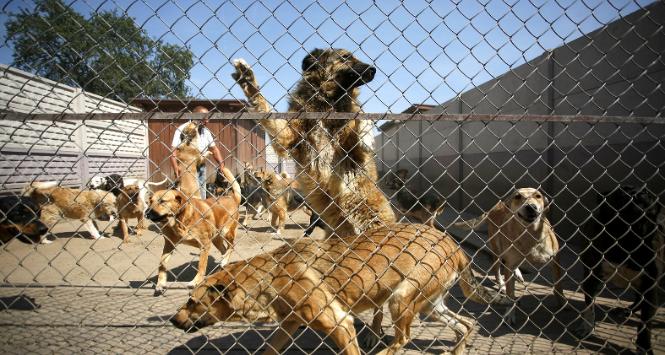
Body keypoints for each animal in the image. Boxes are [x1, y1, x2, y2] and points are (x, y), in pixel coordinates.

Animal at [146, 168, 241, 296]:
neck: (180, 221)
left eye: (162, 201)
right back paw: (223, 264)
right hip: (216, 239)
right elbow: (162, 264)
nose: (146, 213)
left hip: (225, 232)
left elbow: (201, 265)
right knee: (224, 250)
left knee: (231, 246)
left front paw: (196, 281)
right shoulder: (169, 245)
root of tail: (232, 198)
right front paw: (160, 284)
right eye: (150, 201)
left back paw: (225, 261)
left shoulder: (205, 245)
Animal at [170, 224, 508, 354]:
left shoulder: (340, 324)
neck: (271, 277)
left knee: (403, 338)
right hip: (430, 307)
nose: (173, 320)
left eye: (192, 301)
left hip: (401, 301)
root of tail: (452, 242)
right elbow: (269, 349)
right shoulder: (288, 325)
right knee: (467, 324)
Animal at [232, 49, 394, 239]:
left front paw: (366, 135)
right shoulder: (289, 136)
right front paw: (248, 81)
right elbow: (266, 110)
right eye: (346, 57)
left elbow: (361, 116)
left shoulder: (354, 150)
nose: (374, 70)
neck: (328, 102)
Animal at [454, 189, 564, 326]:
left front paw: (562, 302)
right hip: (497, 251)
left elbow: (558, 285)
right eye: (518, 196)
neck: (530, 234)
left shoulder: (555, 260)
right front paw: (510, 314)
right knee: (497, 270)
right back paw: (502, 284)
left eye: (538, 196)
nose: (531, 207)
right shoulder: (509, 264)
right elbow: (510, 294)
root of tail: (497, 205)